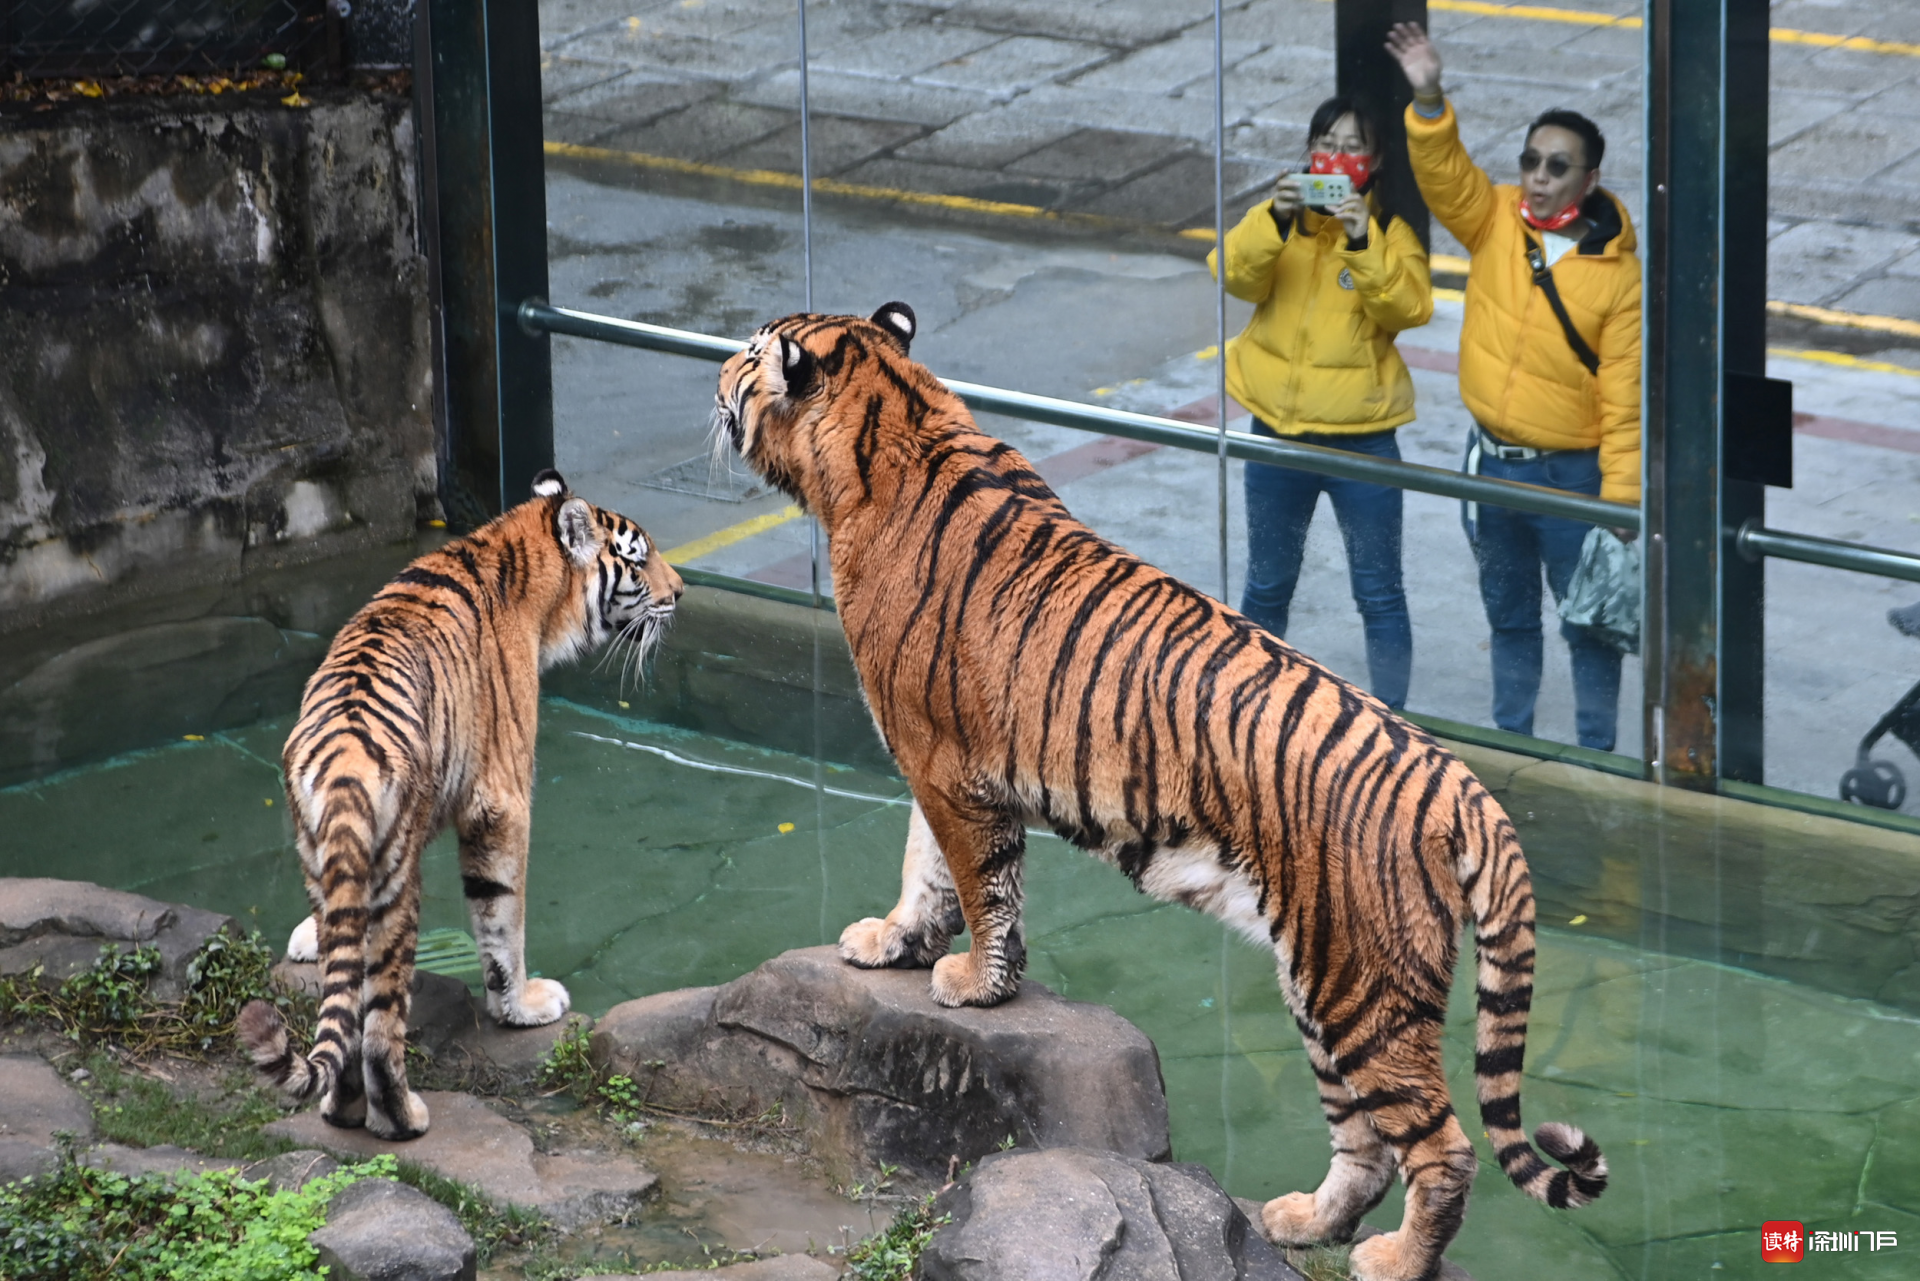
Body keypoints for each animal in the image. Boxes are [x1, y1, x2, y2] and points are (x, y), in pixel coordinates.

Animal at [243, 470, 683, 1144]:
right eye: (639, 560)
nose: (681, 592)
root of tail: (343, 759)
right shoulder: (502, 799)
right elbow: (503, 920)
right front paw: (523, 1006)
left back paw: (342, 1108)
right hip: (395, 891)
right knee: (378, 1026)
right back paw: (401, 1117)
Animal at [706, 305, 1605, 1275]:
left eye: (749, 353)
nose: (715, 373)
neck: (893, 424)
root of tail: (1463, 786)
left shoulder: (944, 763)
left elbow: (980, 883)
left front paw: (974, 982)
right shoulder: (931, 757)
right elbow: (928, 867)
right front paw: (894, 940)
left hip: (1363, 986)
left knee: (1442, 1147)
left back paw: (1395, 1258)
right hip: (1326, 981)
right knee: (1363, 1139)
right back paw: (1302, 1222)